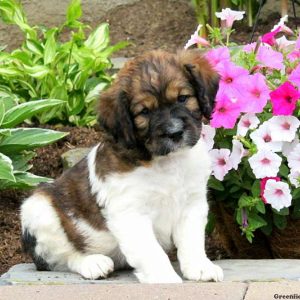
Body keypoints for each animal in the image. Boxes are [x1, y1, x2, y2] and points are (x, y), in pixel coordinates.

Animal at [20, 49, 223, 284]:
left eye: (183, 98)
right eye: (144, 112)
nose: (175, 133)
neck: (165, 161)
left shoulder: (192, 203)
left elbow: (192, 241)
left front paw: (200, 267)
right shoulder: (130, 212)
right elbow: (151, 250)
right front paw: (163, 276)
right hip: (38, 209)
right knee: (59, 258)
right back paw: (92, 263)